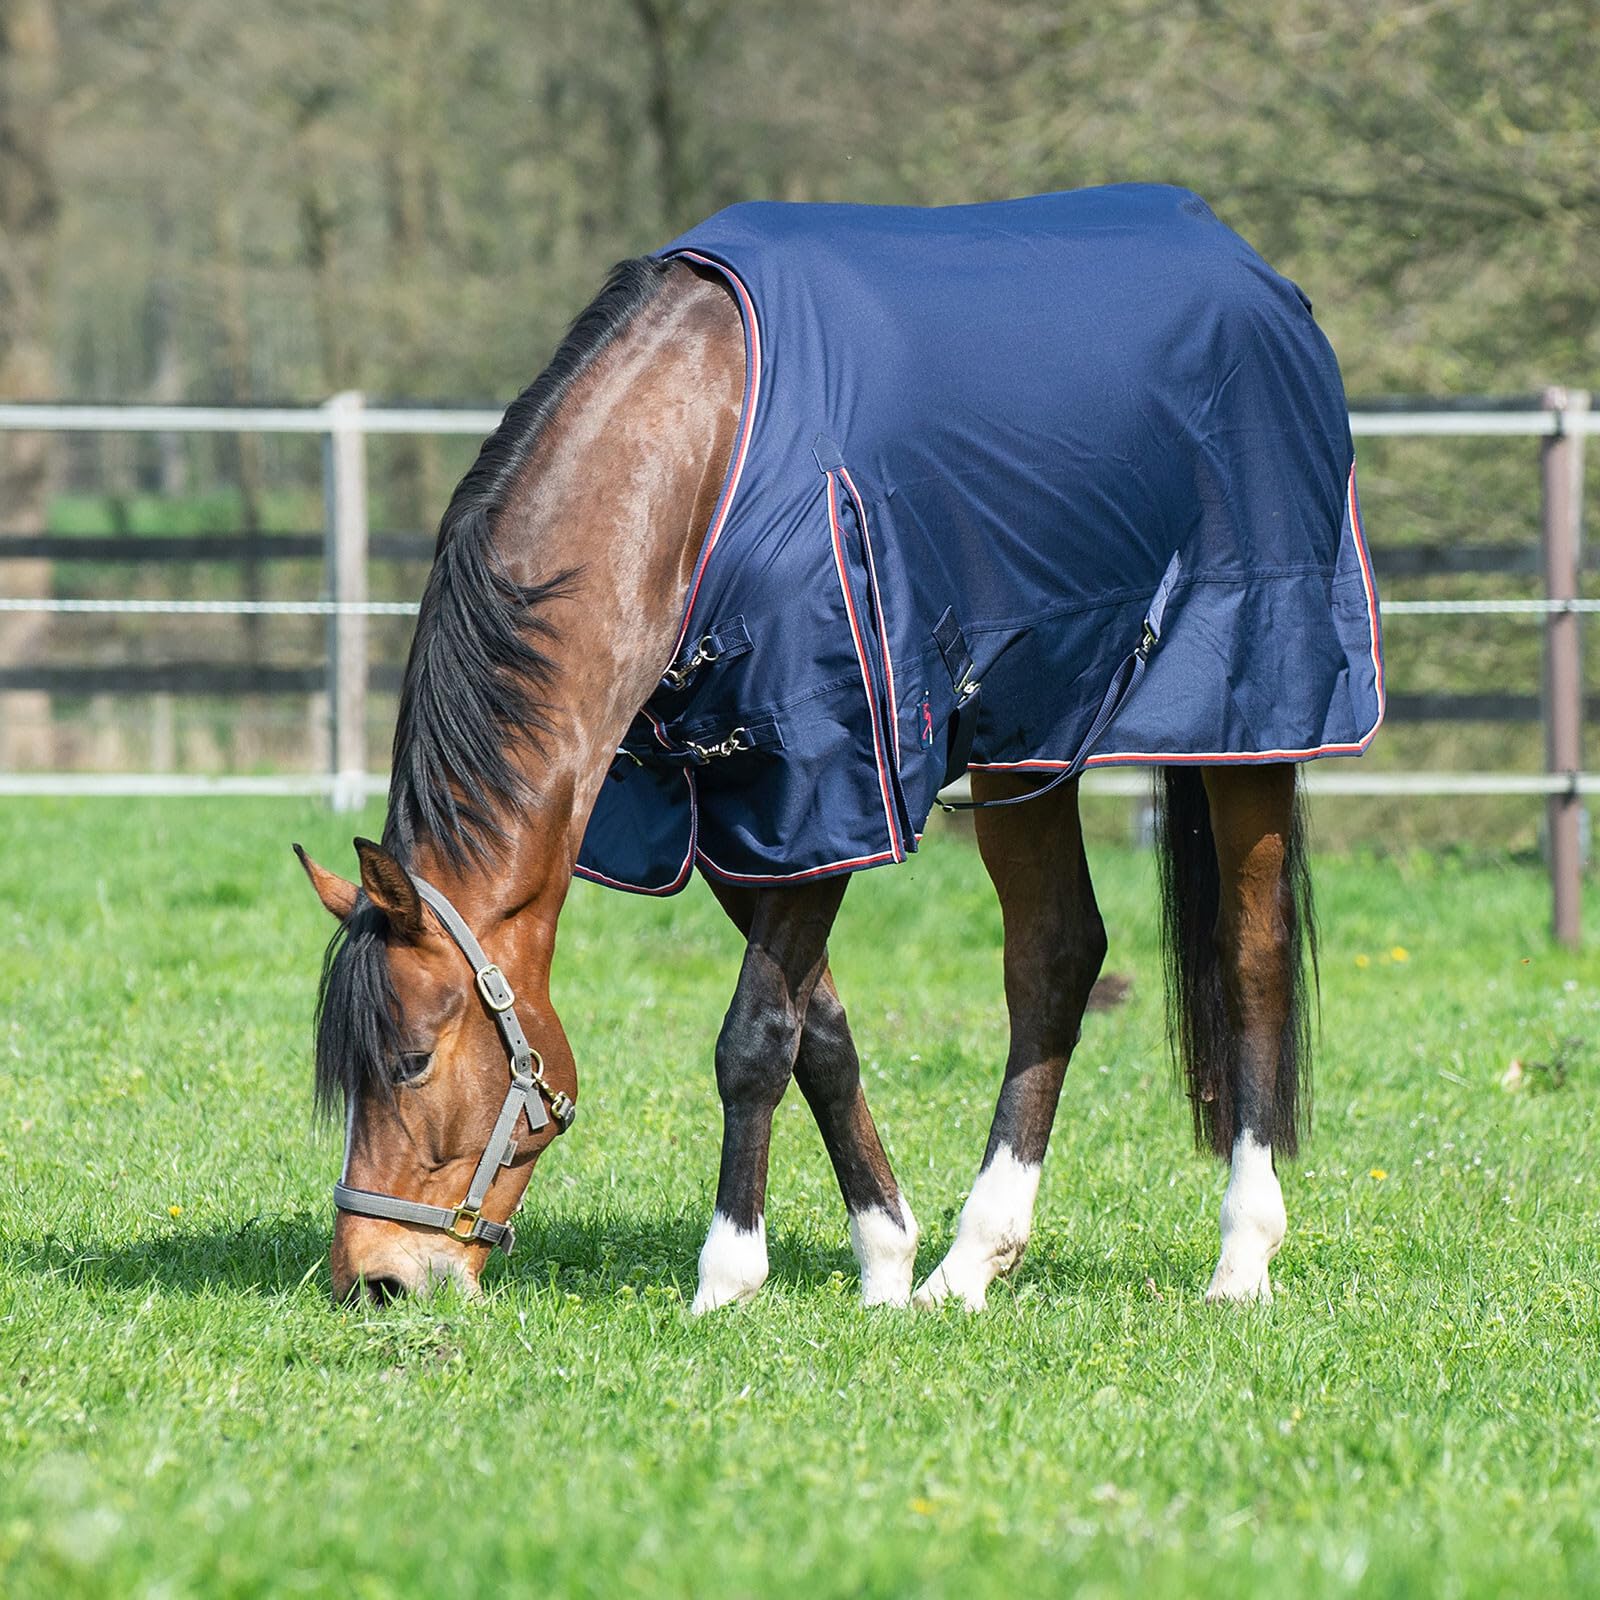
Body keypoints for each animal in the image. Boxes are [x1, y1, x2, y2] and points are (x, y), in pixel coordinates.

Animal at [296, 185, 1382, 1309]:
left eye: (412, 1061)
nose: (373, 1279)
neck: (701, 465)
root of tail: (1256, 276)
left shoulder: (824, 778)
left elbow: (752, 1038)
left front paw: (728, 1275)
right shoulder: (741, 810)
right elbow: (816, 1030)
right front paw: (887, 1260)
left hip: (1253, 718)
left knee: (1251, 956)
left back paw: (1242, 1256)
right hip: (1029, 740)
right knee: (1054, 958)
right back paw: (971, 1261)